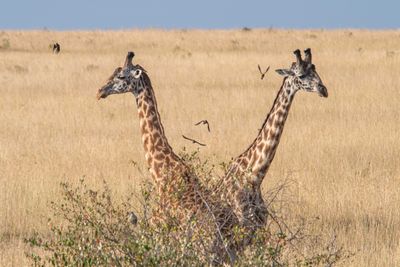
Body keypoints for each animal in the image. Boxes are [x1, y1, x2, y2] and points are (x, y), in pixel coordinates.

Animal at [97, 51, 239, 264]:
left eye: (121, 76)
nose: (100, 91)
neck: (161, 172)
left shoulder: (158, 231)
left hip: (203, 252)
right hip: (229, 255)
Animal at [219, 49, 328, 231]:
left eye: (315, 69)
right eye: (301, 75)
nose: (324, 90)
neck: (254, 177)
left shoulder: (260, 225)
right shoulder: (244, 223)